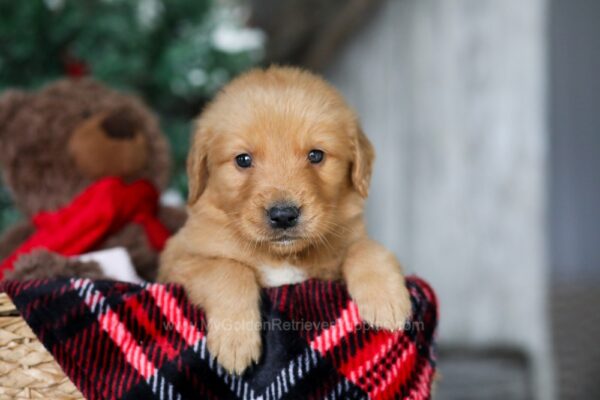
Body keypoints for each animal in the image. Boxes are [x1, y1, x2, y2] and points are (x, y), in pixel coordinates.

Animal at [158, 66, 412, 376]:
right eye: (243, 159)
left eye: (316, 155)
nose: (283, 215)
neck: (281, 257)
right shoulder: (178, 259)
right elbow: (228, 269)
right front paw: (235, 341)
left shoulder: (346, 242)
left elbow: (366, 247)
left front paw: (387, 300)